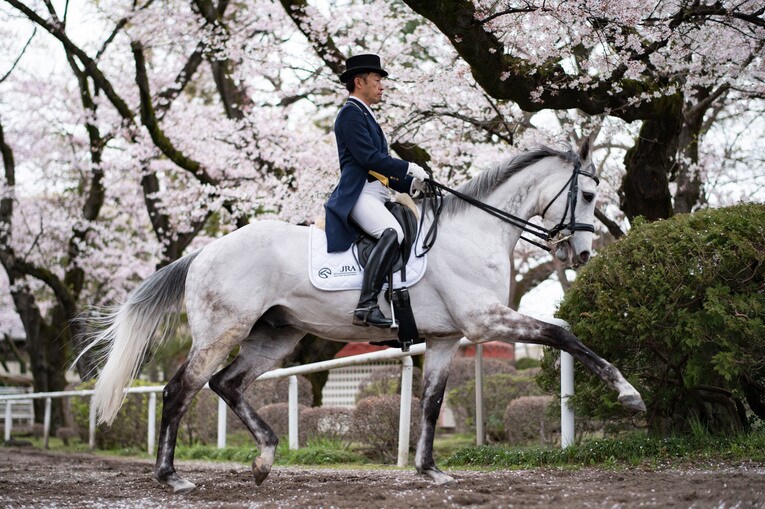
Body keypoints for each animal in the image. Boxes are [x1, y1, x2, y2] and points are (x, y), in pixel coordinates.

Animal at [81, 137, 645, 494]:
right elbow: (564, 334)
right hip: (223, 332)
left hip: (274, 337)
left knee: (228, 384)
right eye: (588, 194)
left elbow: (432, 403)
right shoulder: (485, 321)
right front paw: (628, 394)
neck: (473, 234)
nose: (582, 256)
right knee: (181, 390)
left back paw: (265, 458)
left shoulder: (446, 338)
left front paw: (429, 470)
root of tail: (204, 252)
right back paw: (171, 476)